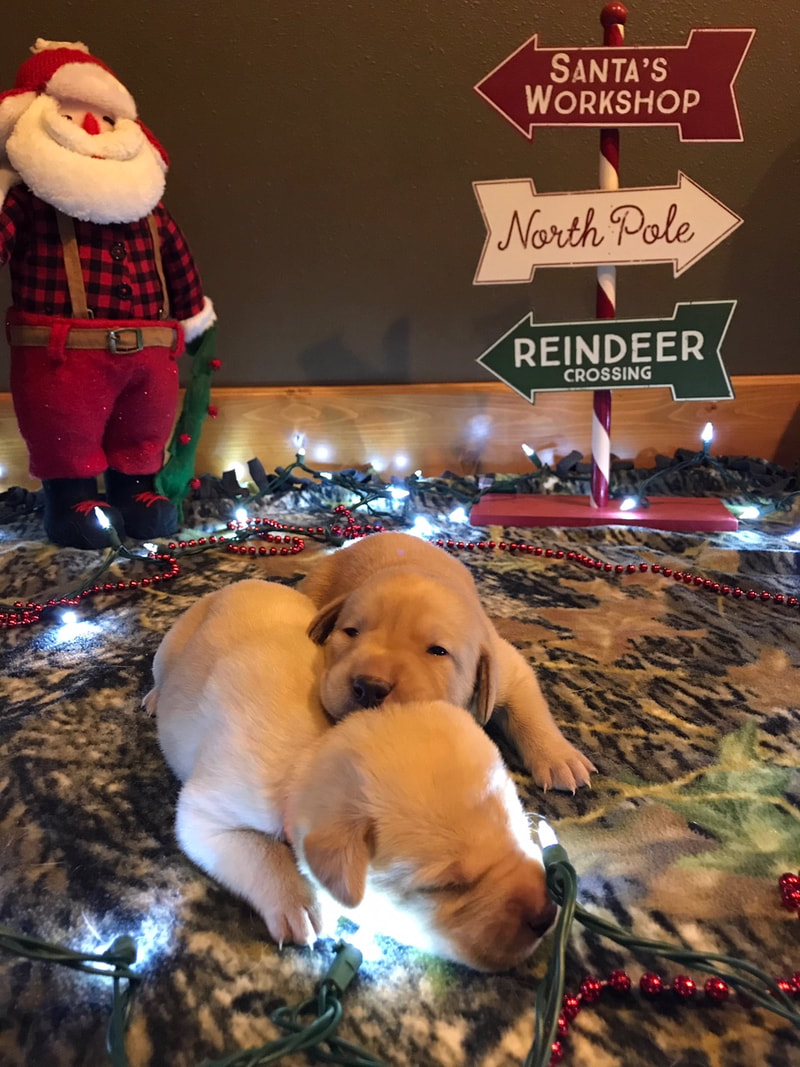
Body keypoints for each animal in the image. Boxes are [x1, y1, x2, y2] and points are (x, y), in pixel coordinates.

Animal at [144, 580, 558, 973]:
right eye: (446, 887)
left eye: (520, 830)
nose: (547, 915)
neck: (317, 747)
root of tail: (243, 583)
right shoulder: (208, 814)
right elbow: (258, 851)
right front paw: (300, 902)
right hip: (172, 644)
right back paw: (154, 698)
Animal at [302, 531, 597, 793]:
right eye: (351, 632)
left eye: (438, 651)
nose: (370, 687)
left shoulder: (507, 667)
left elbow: (529, 710)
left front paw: (560, 759)